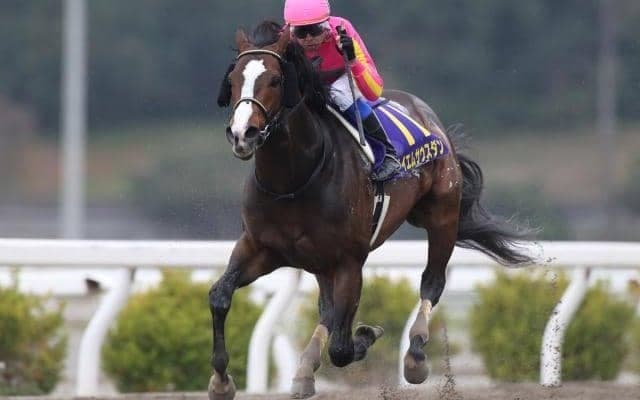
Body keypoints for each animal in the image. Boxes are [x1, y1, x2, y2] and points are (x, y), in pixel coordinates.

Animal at [208, 21, 535, 400]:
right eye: (233, 79)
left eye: (275, 79)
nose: (242, 134)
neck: (294, 179)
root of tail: (429, 117)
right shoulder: (260, 248)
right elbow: (219, 296)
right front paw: (221, 381)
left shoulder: (349, 261)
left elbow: (342, 347)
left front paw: (368, 334)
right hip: (319, 261)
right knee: (327, 310)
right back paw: (304, 371)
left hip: (442, 216)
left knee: (432, 283)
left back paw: (416, 356)